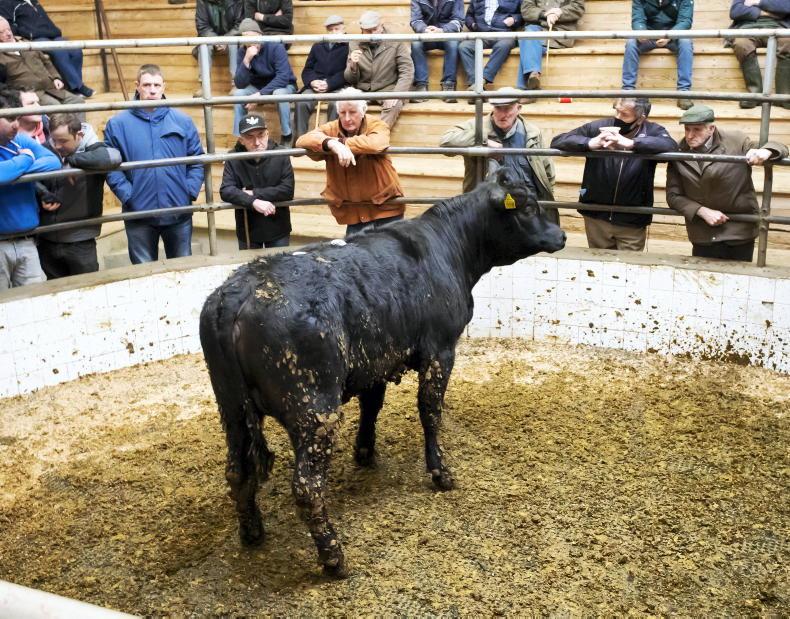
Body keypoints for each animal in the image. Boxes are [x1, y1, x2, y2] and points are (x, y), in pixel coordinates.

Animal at [199, 167, 566, 577]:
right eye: (529, 206)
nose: (562, 235)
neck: (449, 249)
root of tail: (239, 293)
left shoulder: (375, 362)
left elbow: (372, 406)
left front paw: (365, 452)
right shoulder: (440, 349)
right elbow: (430, 411)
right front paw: (440, 472)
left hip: (231, 408)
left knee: (237, 471)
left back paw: (252, 531)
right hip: (314, 408)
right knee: (307, 485)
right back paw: (334, 558)